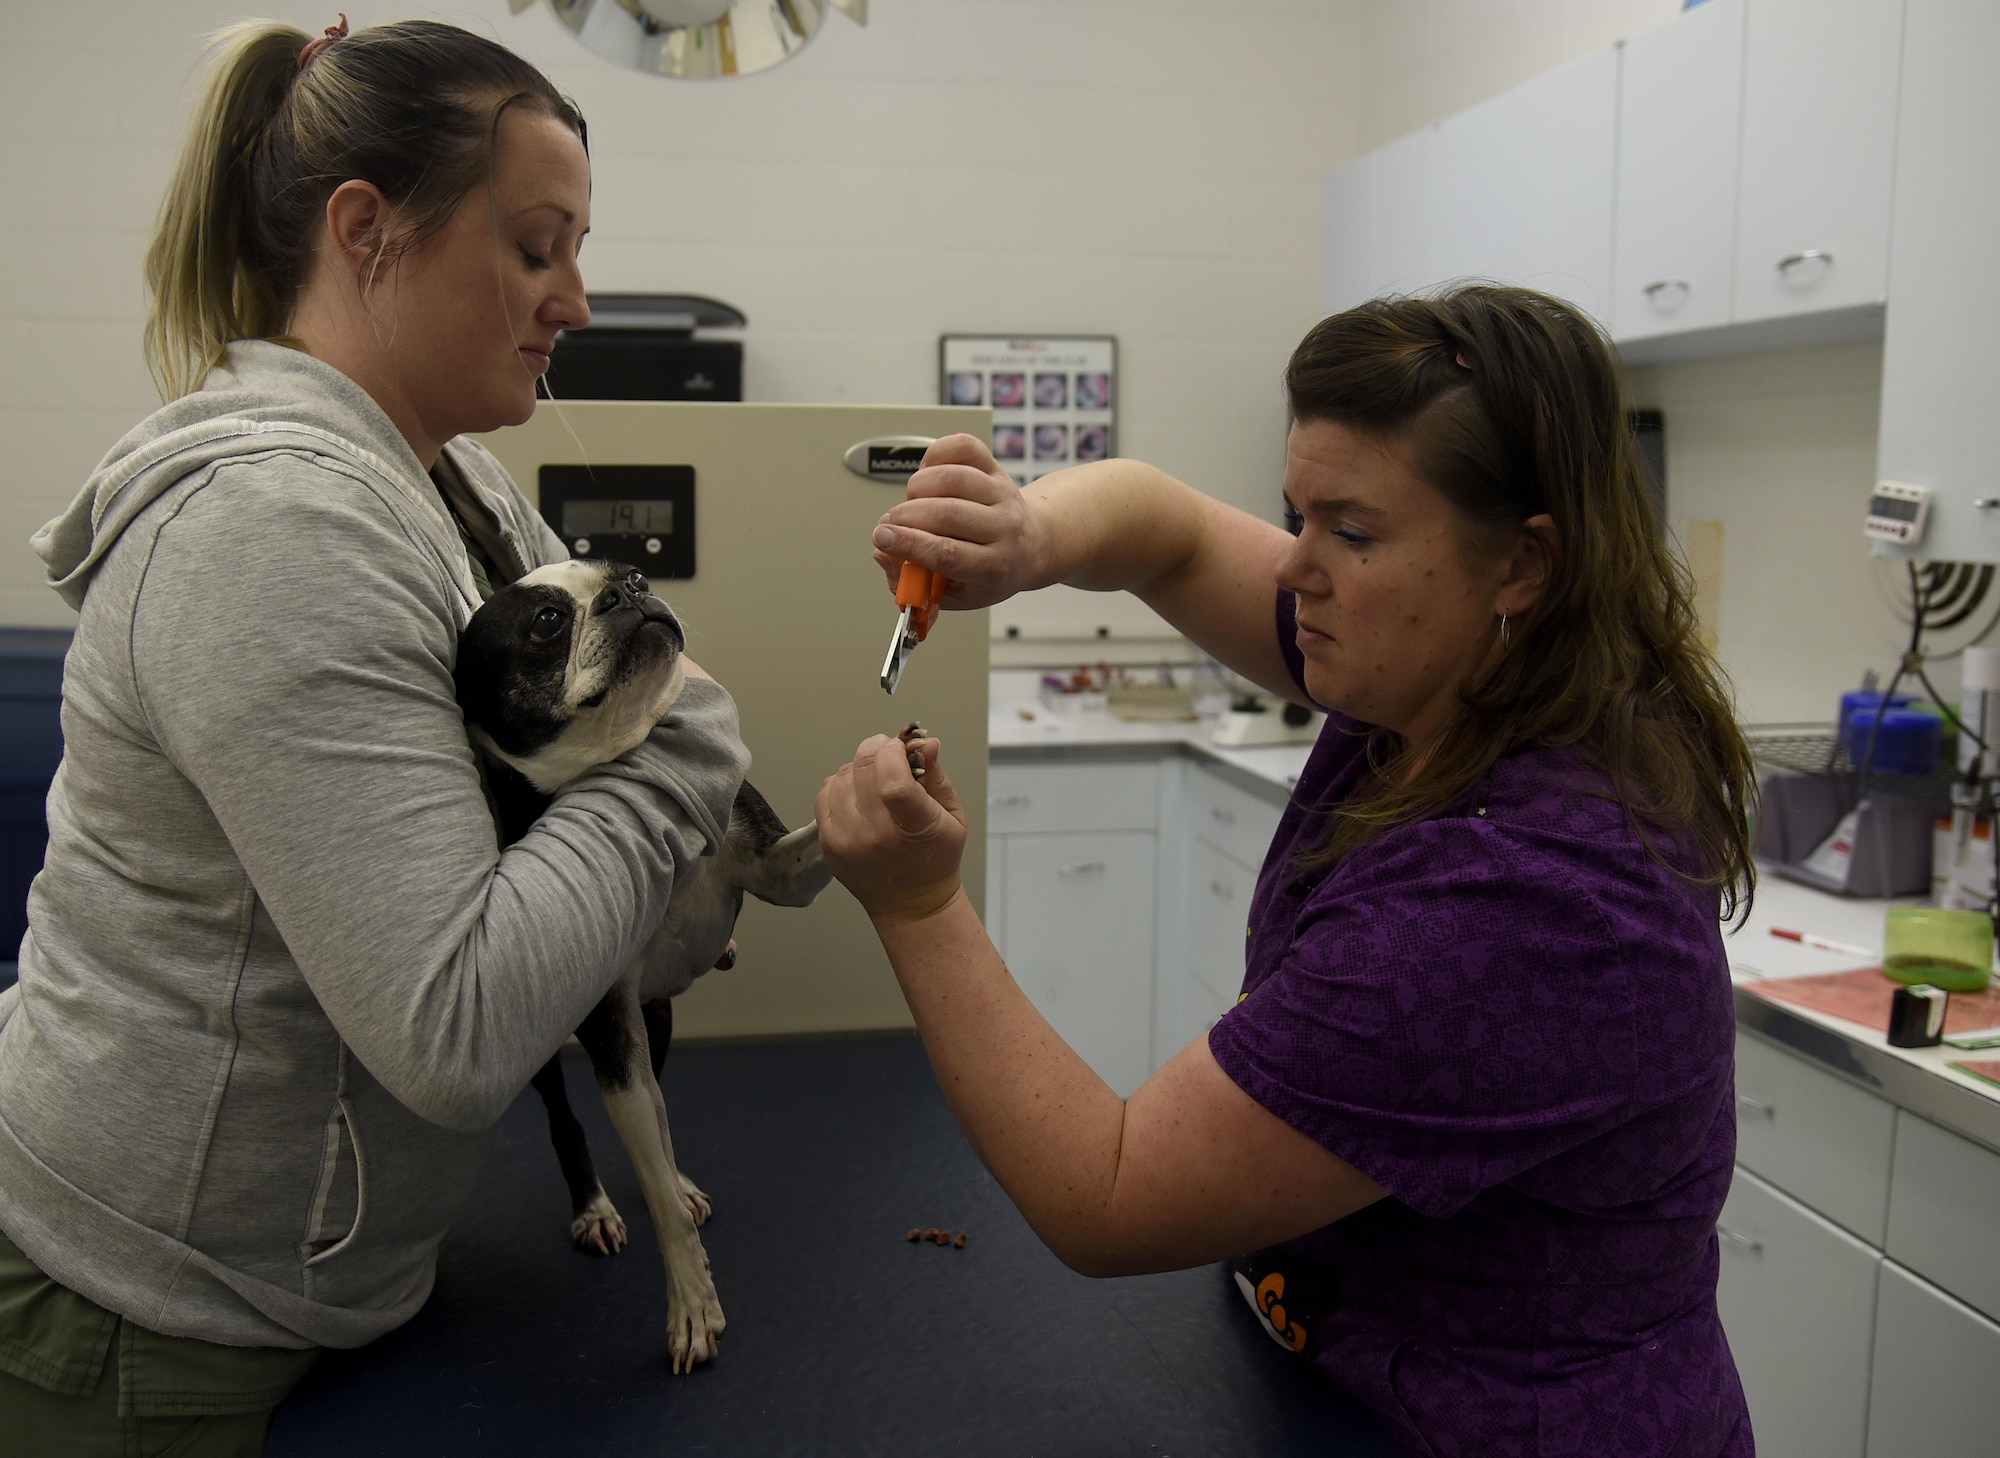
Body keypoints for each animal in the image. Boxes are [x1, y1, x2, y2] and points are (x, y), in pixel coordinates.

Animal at [456, 556, 828, 1368]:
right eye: (546, 622)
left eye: (630, 573)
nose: (629, 593)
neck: (621, 752)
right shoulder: (608, 1031)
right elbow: (655, 1201)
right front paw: (691, 1305)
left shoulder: (779, 872)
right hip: (553, 1055)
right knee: (578, 1125)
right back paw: (594, 1205)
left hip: (657, 1024)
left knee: (659, 1119)